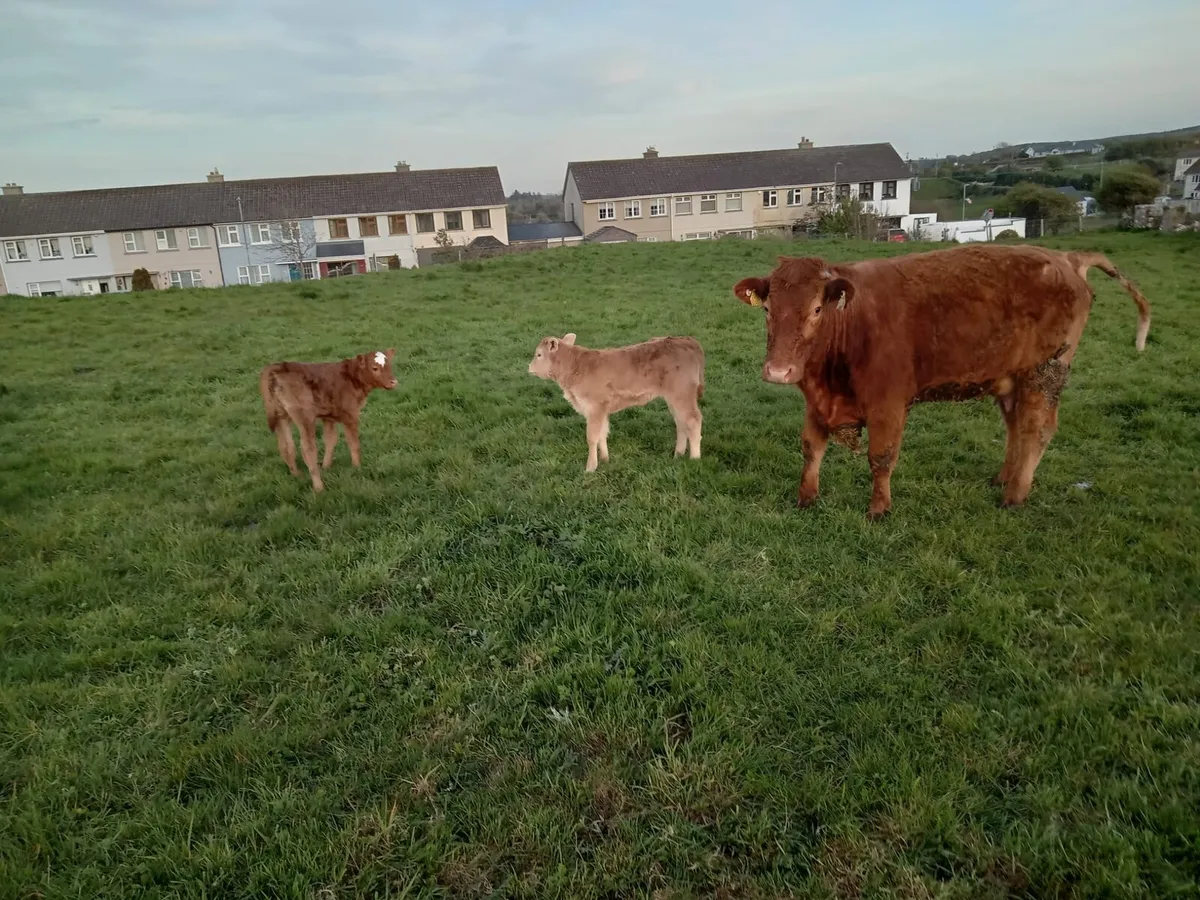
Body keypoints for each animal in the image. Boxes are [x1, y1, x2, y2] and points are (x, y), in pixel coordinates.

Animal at [259, 348, 398, 493]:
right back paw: (319, 487)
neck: (351, 377)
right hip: (305, 416)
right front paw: (357, 467)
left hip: (281, 416)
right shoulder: (351, 414)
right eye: (375, 368)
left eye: (389, 365)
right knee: (308, 449)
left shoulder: (328, 417)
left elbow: (331, 440)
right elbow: (353, 442)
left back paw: (297, 475)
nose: (393, 382)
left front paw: (326, 466)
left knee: (286, 446)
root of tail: (277, 366)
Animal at [527, 333, 705, 472]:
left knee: (693, 420)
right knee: (681, 423)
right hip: (674, 398)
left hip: (682, 394)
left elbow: (592, 437)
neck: (574, 366)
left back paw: (695, 459)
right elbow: (602, 433)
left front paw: (590, 467)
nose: (529, 367)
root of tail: (686, 340)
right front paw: (605, 459)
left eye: (539, 355)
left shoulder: (594, 407)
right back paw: (678, 455)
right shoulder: (601, 409)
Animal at [733, 243, 1151, 519]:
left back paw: (1015, 495)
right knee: (1015, 427)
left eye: (818, 309)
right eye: (767, 309)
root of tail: (1066, 258)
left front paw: (879, 509)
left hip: (1043, 374)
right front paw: (806, 498)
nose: (778, 370)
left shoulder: (888, 404)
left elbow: (881, 457)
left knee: (1037, 430)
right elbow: (811, 449)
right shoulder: (817, 402)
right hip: (1011, 378)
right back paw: (1003, 478)